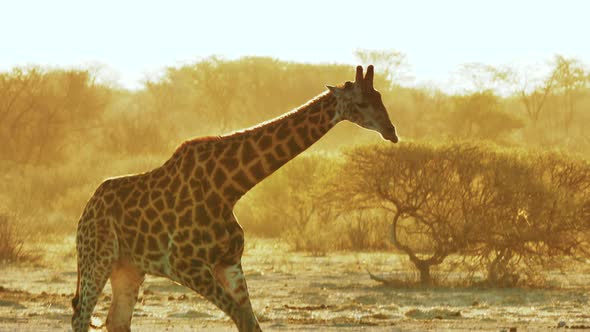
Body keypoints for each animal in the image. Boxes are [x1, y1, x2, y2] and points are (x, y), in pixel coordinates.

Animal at [71, 65, 400, 332]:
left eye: (381, 98)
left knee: (116, 320)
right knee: (80, 313)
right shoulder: (185, 264)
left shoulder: (229, 262)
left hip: (128, 267)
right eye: (361, 103)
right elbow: (241, 316)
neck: (230, 187)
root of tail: (88, 207)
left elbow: (250, 322)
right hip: (97, 256)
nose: (391, 132)